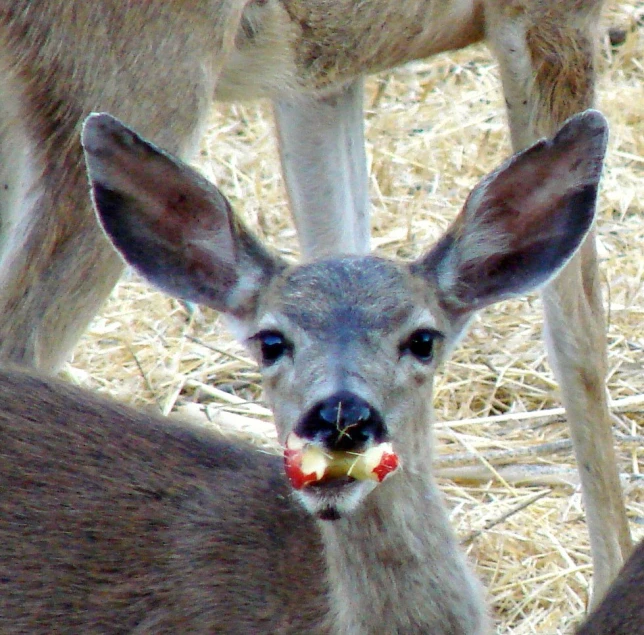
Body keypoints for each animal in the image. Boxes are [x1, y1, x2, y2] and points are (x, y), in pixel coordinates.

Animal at [0, 0, 628, 604]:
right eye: (271, 342)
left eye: (421, 340)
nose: (343, 420)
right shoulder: (550, 15)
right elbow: (579, 334)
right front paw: (612, 575)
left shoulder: (319, 73)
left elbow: (341, 238)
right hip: (135, 71)